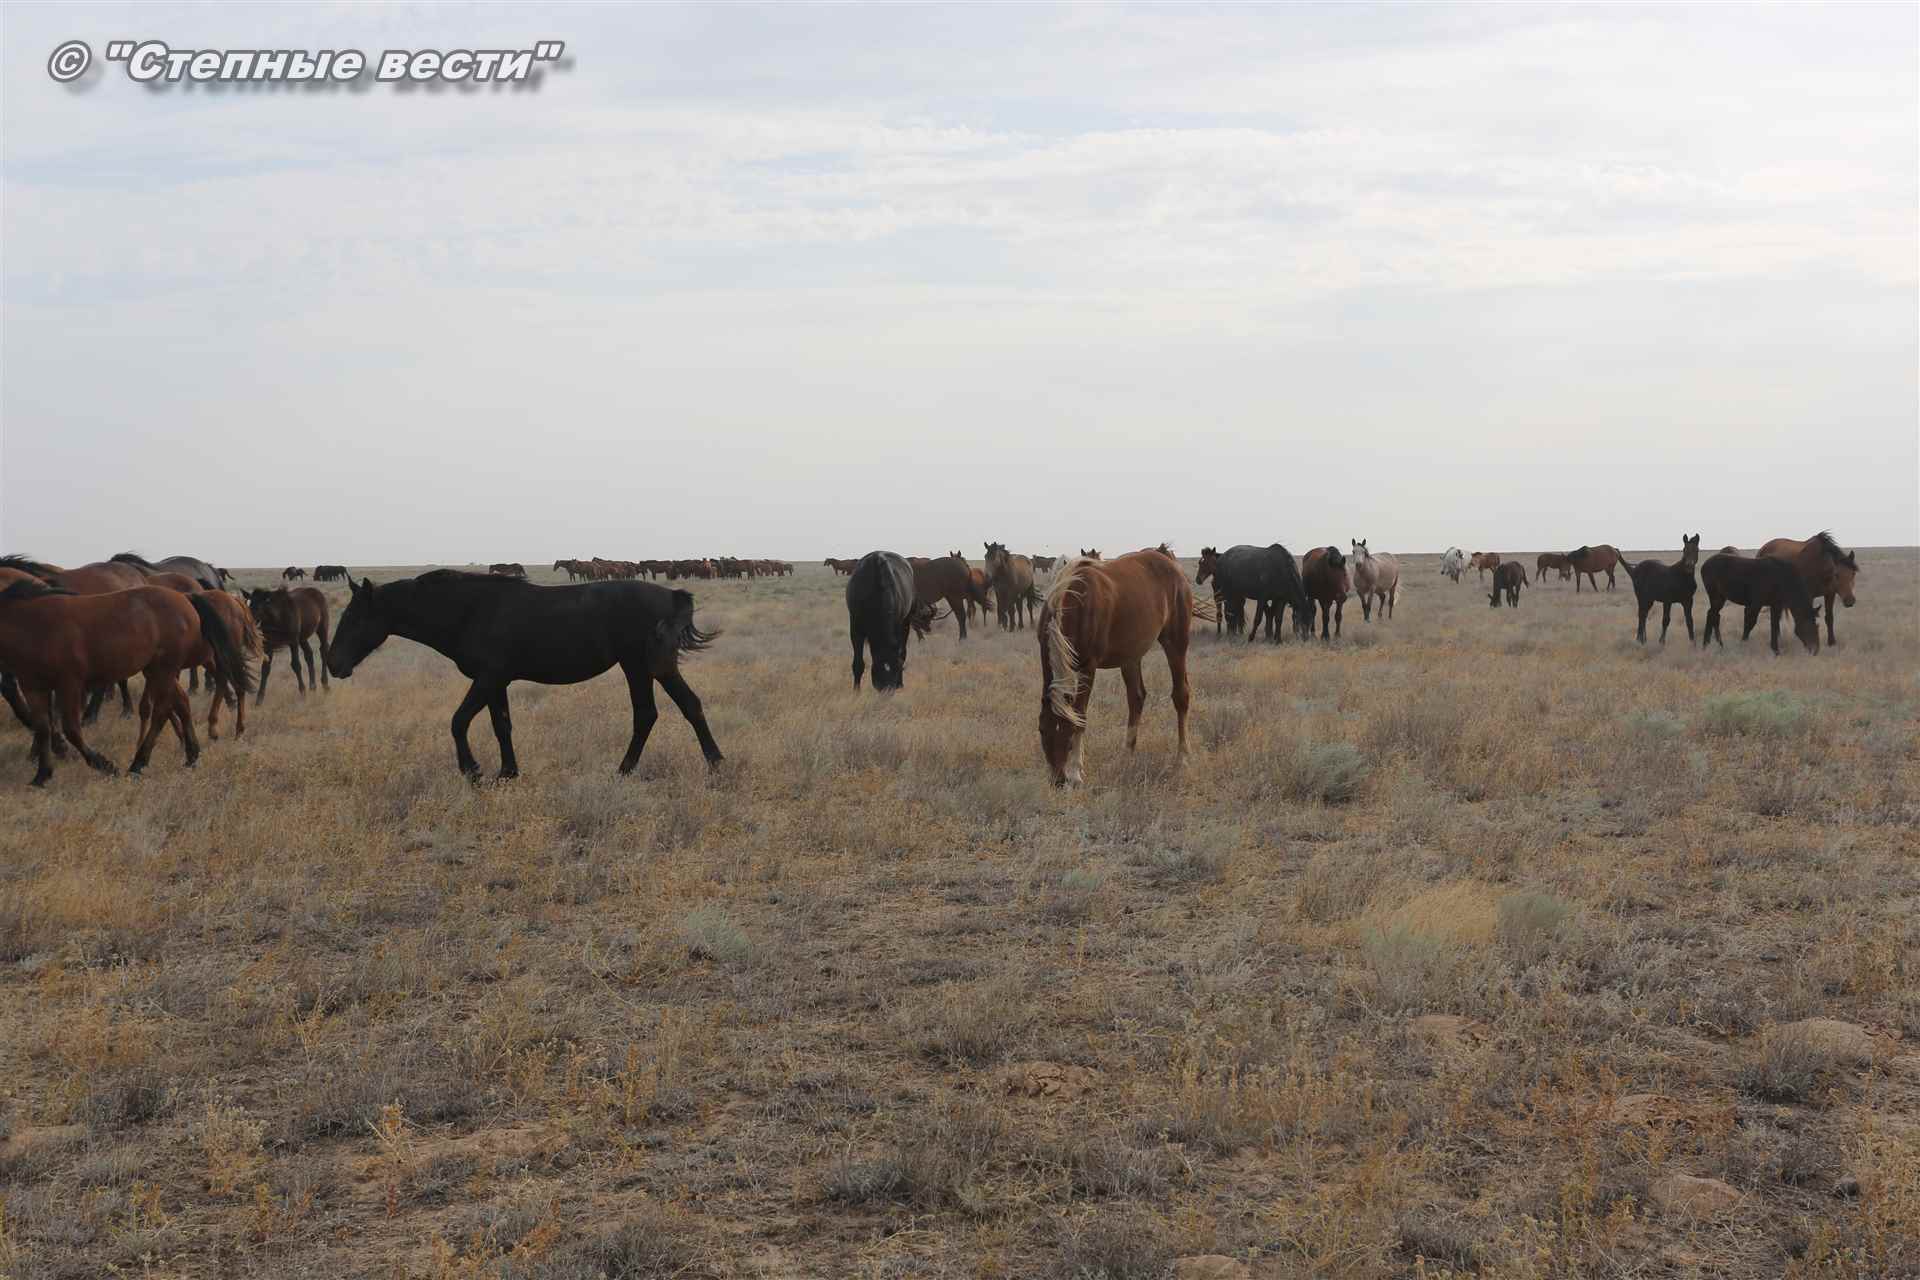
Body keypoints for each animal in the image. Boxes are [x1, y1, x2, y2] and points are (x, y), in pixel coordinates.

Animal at [0, 579, 251, 786]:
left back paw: (138, 763)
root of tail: (185, 598)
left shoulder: (69, 684)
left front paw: (104, 764)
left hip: (165, 669)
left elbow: (71, 729)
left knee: (162, 712)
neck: (37, 626)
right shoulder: (33, 687)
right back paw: (191, 755)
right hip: (158, 671)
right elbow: (42, 727)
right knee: (179, 703)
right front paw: (42, 775)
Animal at [326, 571, 724, 780]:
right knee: (675, 709)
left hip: (642, 667)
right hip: (649, 668)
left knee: (658, 712)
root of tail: (672, 596)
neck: (470, 611)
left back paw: (636, 769)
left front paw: (472, 771)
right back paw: (705, 764)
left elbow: (458, 721)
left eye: (354, 618)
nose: (332, 664)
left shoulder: (487, 678)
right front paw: (507, 773)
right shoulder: (496, 682)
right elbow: (501, 725)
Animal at [846, 551, 938, 690]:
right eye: (879, 668)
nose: (887, 689)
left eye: (895, 669)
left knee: (903, 652)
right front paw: (856, 690)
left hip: (905, 623)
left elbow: (901, 654)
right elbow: (858, 663)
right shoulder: (856, 628)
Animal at [1037, 551, 1191, 786]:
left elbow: (1081, 716)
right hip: (1130, 657)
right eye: (1042, 731)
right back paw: (1126, 755)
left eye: (1067, 732)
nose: (1058, 781)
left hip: (1175, 642)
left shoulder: (1088, 666)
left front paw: (1075, 772)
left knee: (1181, 695)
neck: (1074, 601)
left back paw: (1182, 759)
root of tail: (1171, 563)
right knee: (1136, 698)